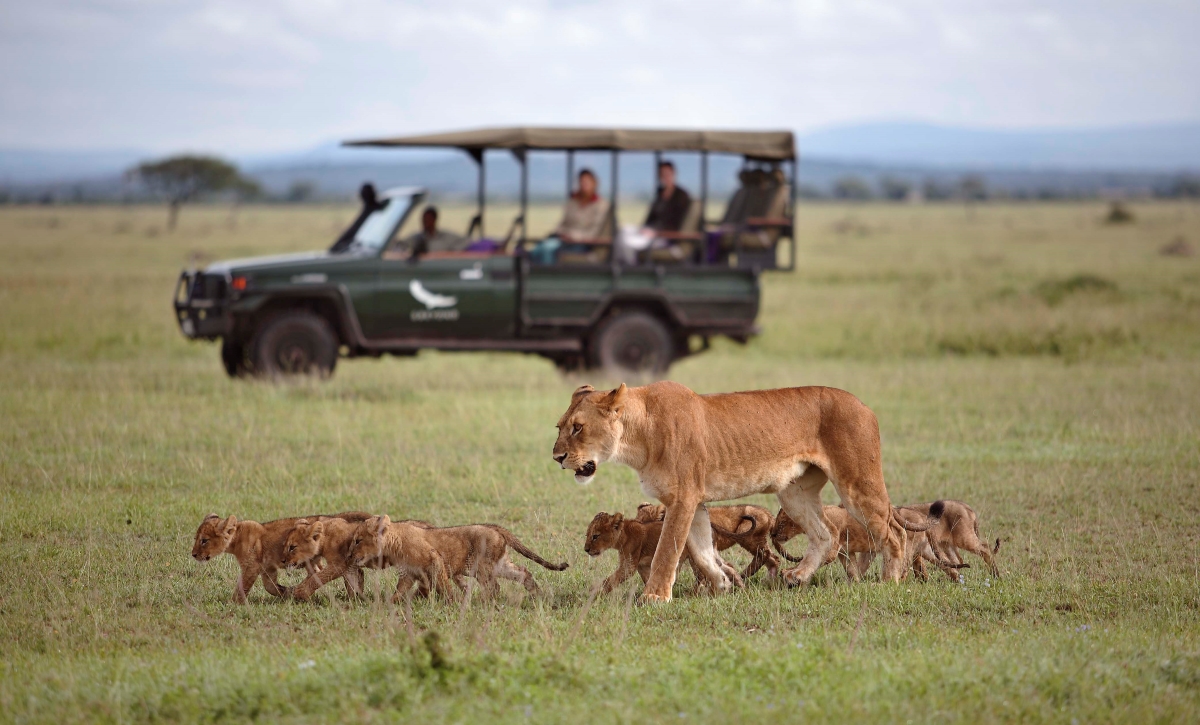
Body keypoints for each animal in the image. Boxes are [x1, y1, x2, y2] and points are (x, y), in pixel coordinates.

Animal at [556, 379, 902, 600]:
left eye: (578, 427)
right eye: (560, 427)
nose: (557, 457)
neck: (637, 436)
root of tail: (863, 404)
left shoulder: (683, 497)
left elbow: (667, 551)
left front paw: (654, 597)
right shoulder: (693, 501)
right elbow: (701, 549)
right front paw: (722, 584)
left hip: (858, 484)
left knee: (894, 531)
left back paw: (890, 581)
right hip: (794, 493)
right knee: (826, 532)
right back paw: (798, 577)